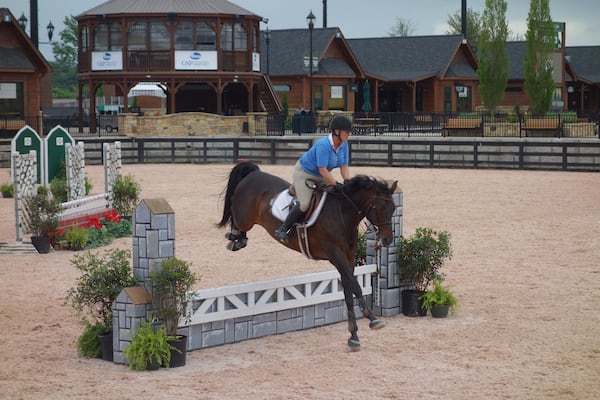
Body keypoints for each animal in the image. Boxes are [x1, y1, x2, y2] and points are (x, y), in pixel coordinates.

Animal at [217, 161, 398, 348]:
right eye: (379, 208)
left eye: (393, 208)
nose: (387, 240)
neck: (342, 213)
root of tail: (254, 174)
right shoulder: (336, 255)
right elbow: (355, 286)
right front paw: (373, 319)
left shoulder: (348, 259)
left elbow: (348, 290)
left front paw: (353, 335)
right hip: (245, 218)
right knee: (237, 220)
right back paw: (235, 238)